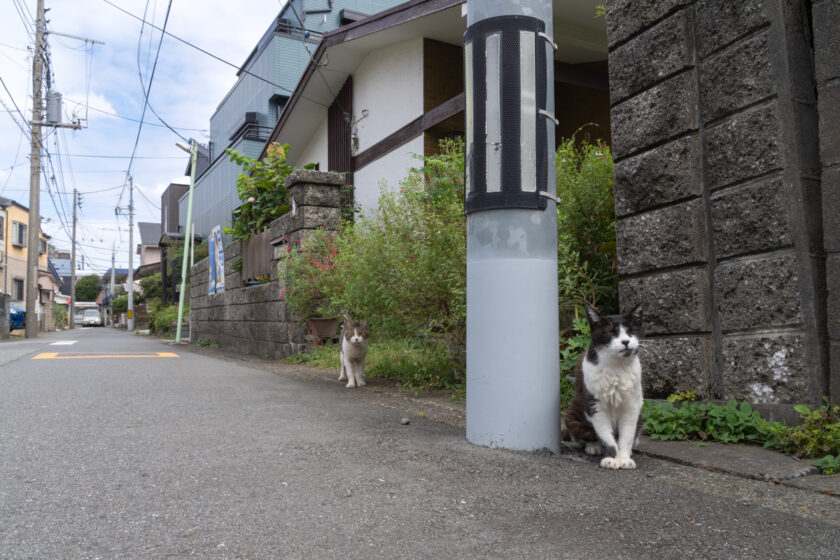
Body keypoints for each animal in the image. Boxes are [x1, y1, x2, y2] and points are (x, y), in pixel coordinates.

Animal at [568, 304, 648, 470]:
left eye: (631, 331)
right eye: (611, 332)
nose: (625, 341)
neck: (617, 366)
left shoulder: (632, 406)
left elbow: (627, 435)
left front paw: (624, 458)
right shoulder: (595, 405)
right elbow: (606, 436)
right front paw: (611, 458)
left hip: (641, 416)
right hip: (572, 414)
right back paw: (593, 446)